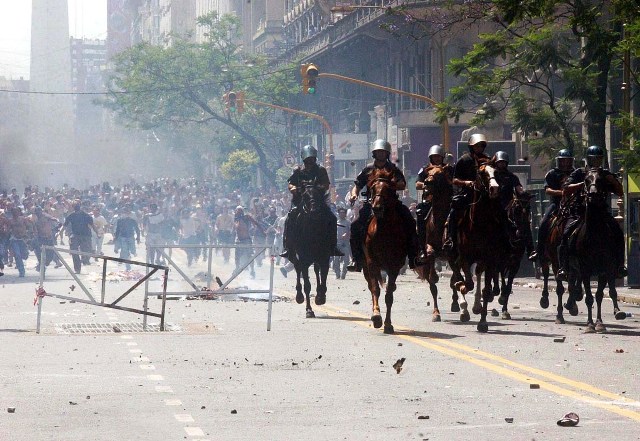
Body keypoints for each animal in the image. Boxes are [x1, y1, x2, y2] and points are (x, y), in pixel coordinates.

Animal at [362, 168, 408, 334]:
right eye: (373, 188)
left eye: (388, 189)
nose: (376, 208)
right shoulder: (371, 262)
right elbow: (375, 289)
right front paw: (376, 316)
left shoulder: (394, 266)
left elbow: (389, 296)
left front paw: (388, 324)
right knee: (371, 286)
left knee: (390, 289)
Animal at [420, 163, 470, 322]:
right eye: (427, 172)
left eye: (440, 174)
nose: (427, 183)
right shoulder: (429, 248)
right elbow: (433, 282)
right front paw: (436, 313)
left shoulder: (453, 254)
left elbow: (456, 280)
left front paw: (463, 309)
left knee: (454, 280)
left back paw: (457, 304)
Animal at [448, 163, 508, 332]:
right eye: (481, 173)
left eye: (496, 172)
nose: (494, 188)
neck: (479, 224)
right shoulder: (464, 258)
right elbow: (467, 284)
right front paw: (462, 291)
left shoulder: (489, 259)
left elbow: (486, 290)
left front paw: (482, 322)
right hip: (452, 255)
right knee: (458, 275)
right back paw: (464, 307)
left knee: (477, 274)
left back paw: (475, 306)